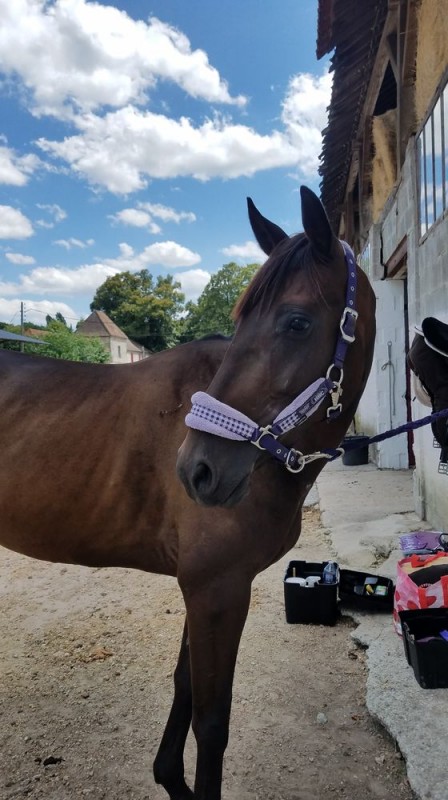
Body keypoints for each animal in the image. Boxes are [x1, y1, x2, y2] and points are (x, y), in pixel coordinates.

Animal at [0, 186, 376, 800]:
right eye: (240, 320)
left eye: (297, 322)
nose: (197, 471)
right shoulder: (216, 587)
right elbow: (212, 721)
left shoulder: (207, 587)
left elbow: (185, 688)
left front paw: (169, 777)